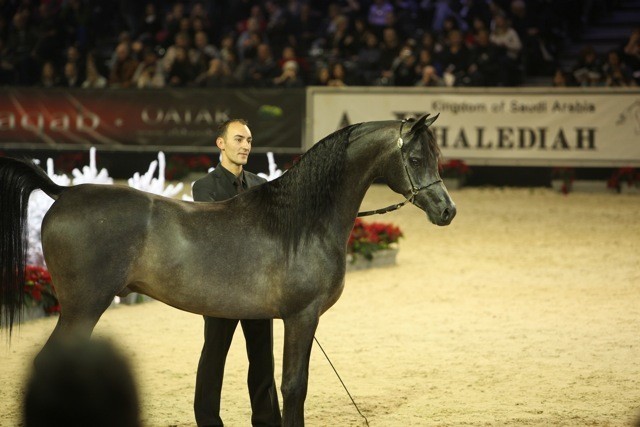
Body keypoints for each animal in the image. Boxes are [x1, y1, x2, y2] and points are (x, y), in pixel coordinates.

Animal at [0, 114, 456, 426]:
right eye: (416, 157)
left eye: (437, 156)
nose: (447, 211)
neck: (303, 220)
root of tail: (63, 193)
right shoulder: (302, 316)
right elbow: (295, 386)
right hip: (83, 307)